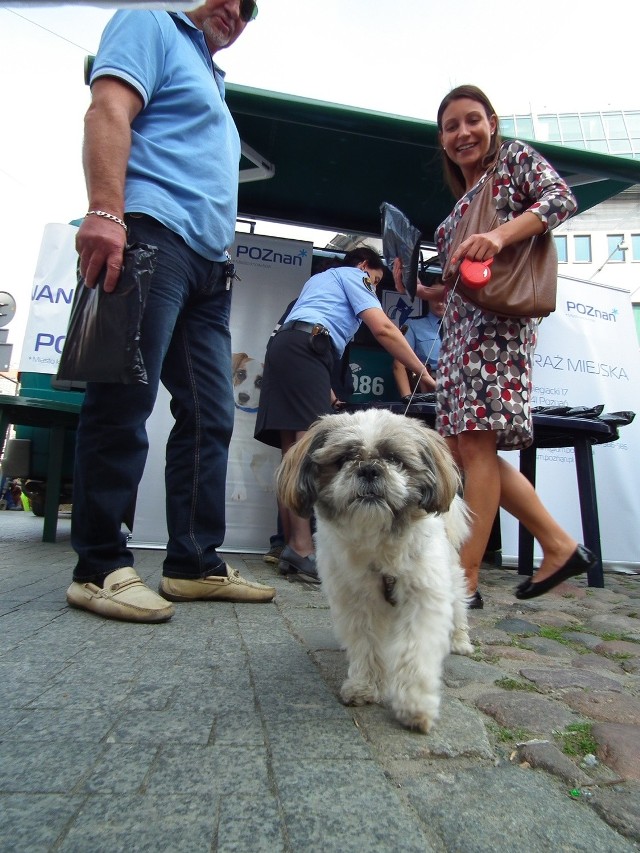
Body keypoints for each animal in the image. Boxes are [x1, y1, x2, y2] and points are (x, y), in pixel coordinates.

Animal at [278, 406, 472, 732]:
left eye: (395, 459)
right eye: (343, 459)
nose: (369, 469)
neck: (378, 541)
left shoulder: (423, 598)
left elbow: (415, 653)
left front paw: (415, 706)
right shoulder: (357, 602)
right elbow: (366, 645)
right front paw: (365, 686)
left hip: (452, 581)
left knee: (458, 610)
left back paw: (460, 641)